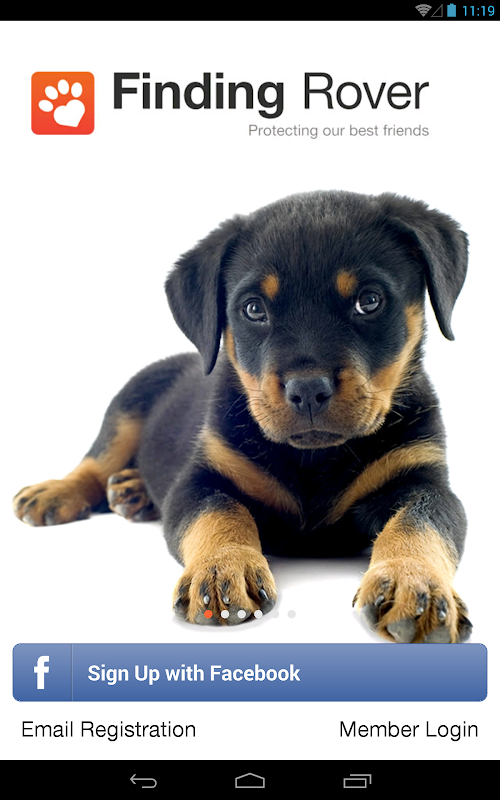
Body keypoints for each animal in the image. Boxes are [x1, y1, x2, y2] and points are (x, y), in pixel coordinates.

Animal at [13, 190, 472, 643]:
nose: (307, 390)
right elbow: (220, 514)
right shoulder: (203, 478)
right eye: (253, 309)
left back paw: (132, 491)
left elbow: (419, 524)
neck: (313, 459)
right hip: (129, 403)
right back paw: (58, 492)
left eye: (370, 301)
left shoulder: (422, 480)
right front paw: (222, 569)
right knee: (96, 460)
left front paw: (414, 584)